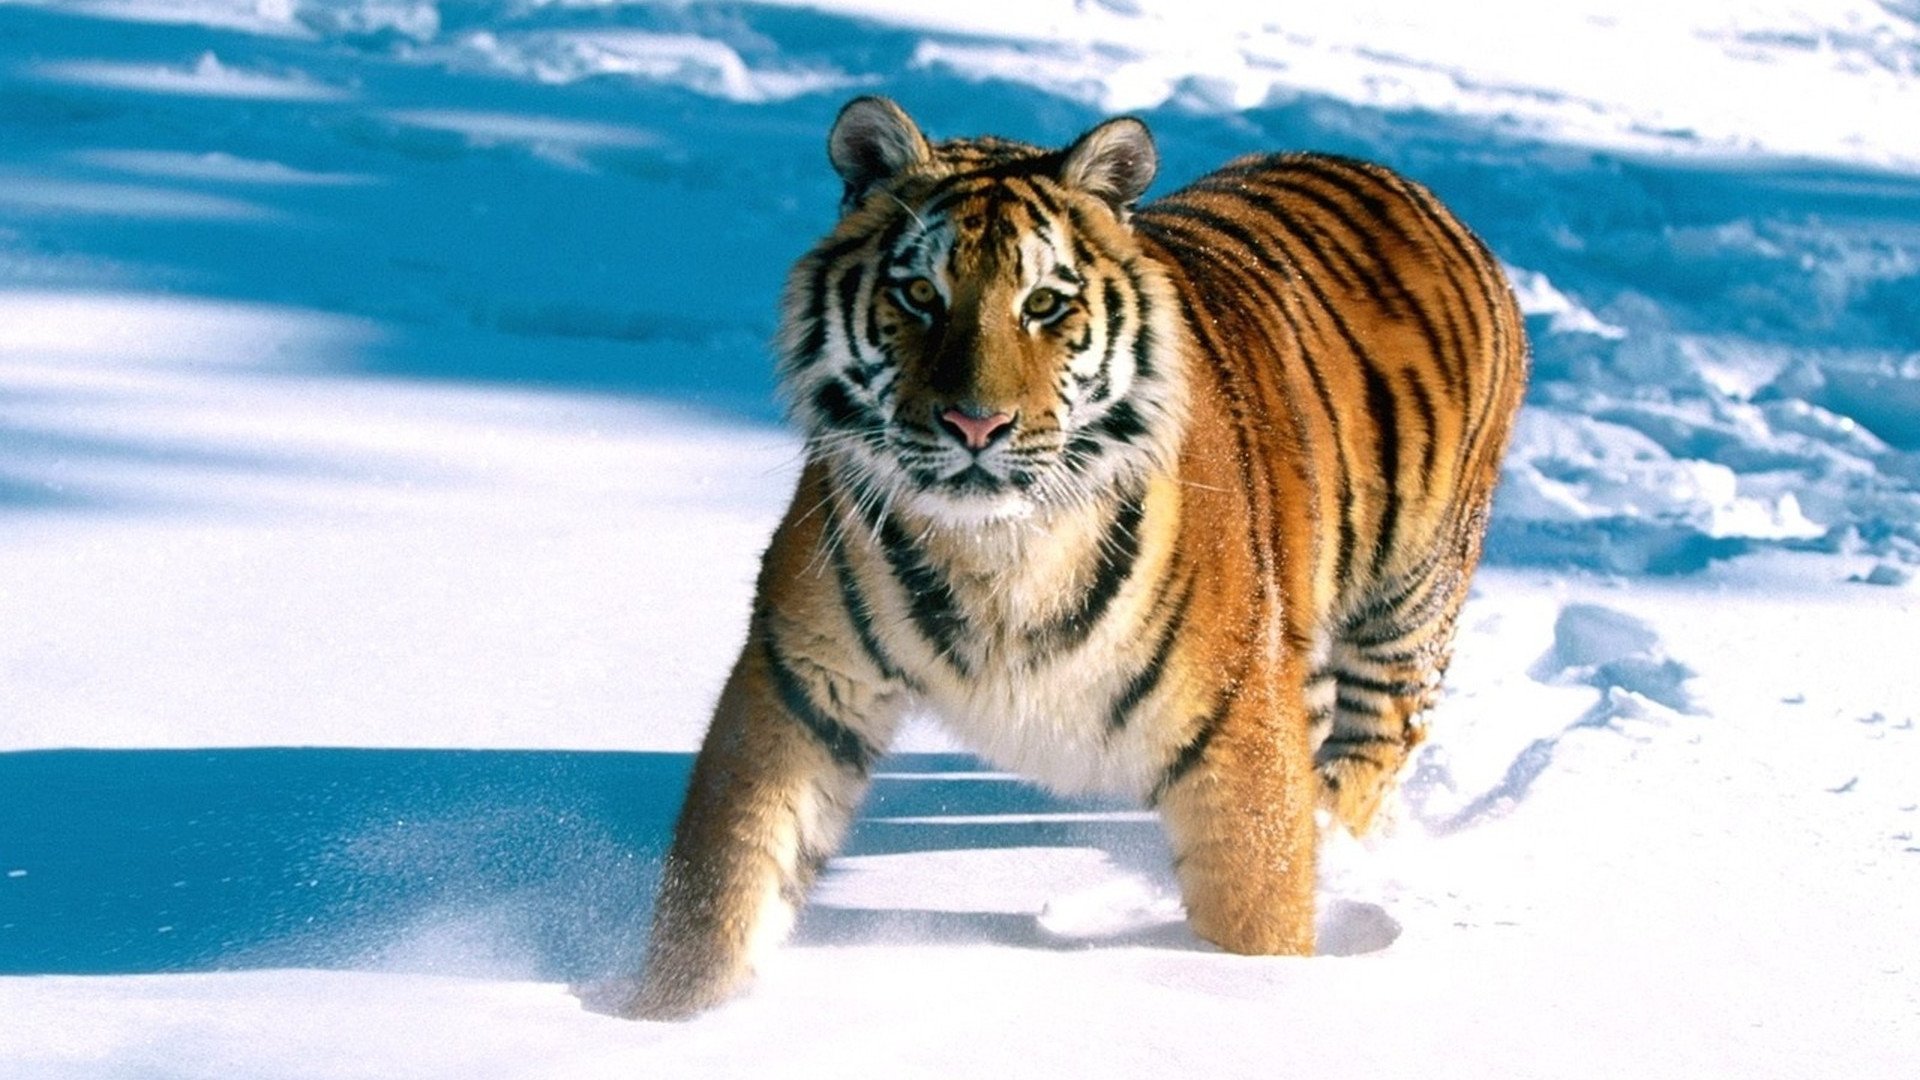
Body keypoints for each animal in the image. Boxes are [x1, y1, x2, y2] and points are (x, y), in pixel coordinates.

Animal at [621, 96, 1527, 1020]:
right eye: (920, 294)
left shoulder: (1236, 729)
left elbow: (1257, 906)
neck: (995, 550)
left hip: (1407, 608)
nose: (976, 424)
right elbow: (728, 878)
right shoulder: (802, 677)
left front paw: (1254, 990)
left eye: (1046, 304)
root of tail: (1404, 184)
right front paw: (658, 1014)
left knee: (1372, 750)